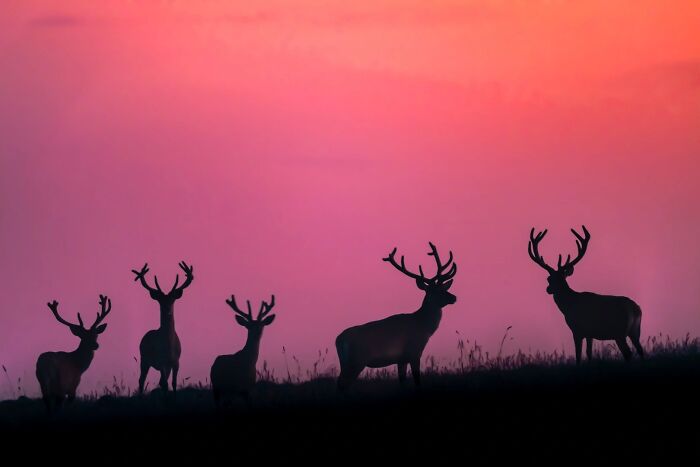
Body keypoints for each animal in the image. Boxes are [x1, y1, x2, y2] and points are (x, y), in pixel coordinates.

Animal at [132, 261, 194, 394]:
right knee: (141, 380)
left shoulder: (176, 362)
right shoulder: (161, 362)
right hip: (144, 359)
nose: (167, 310)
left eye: (173, 299)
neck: (168, 347)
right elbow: (165, 384)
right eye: (160, 301)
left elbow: (173, 383)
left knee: (158, 381)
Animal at [335, 242, 457, 391]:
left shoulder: (401, 359)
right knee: (343, 384)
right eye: (436, 291)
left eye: (444, 288)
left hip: (346, 363)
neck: (423, 326)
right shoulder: (414, 352)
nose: (454, 297)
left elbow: (402, 382)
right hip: (356, 361)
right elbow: (417, 381)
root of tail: (339, 340)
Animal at [527, 226, 644, 364]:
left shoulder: (578, 330)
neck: (569, 306)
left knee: (628, 353)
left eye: (562, 279)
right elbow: (589, 353)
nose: (548, 289)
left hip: (620, 331)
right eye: (549, 278)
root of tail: (636, 309)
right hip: (635, 331)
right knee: (640, 351)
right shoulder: (589, 333)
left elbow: (578, 355)